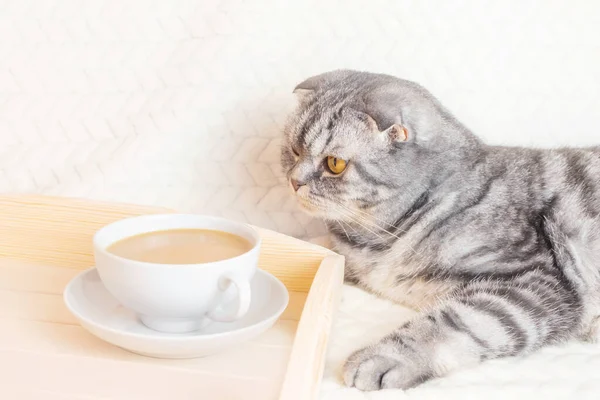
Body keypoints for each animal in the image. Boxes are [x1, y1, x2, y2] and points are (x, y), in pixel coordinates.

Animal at [280, 69, 600, 390]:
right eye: (294, 151)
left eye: (335, 164)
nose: (294, 181)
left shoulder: (537, 274)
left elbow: (457, 322)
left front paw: (386, 357)